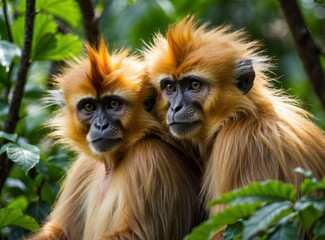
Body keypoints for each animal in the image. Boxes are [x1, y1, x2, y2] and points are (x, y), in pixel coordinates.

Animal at [26, 39, 204, 240]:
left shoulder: (150, 157)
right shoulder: (84, 166)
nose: (101, 125)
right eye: (89, 106)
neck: (112, 164)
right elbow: (62, 231)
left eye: (113, 104)